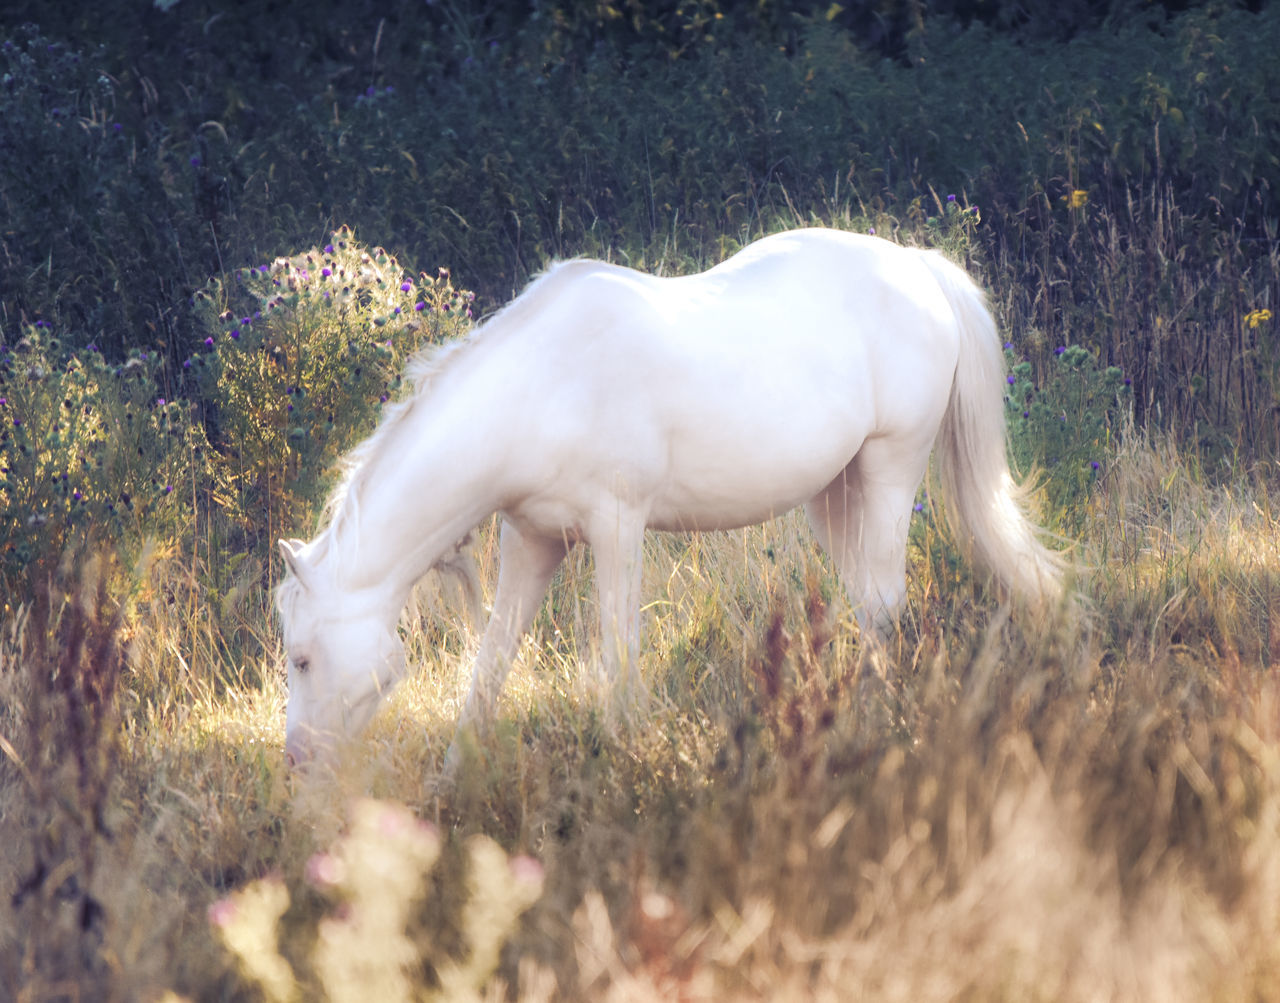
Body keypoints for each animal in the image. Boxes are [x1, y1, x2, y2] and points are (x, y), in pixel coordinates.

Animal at [275, 227, 1064, 762]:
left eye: (303, 659)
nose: (299, 763)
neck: (541, 385)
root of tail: (919, 265)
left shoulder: (617, 528)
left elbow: (619, 655)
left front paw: (625, 758)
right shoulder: (533, 540)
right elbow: (493, 660)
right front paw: (455, 774)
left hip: (891, 468)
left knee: (883, 602)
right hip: (834, 493)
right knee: (862, 601)